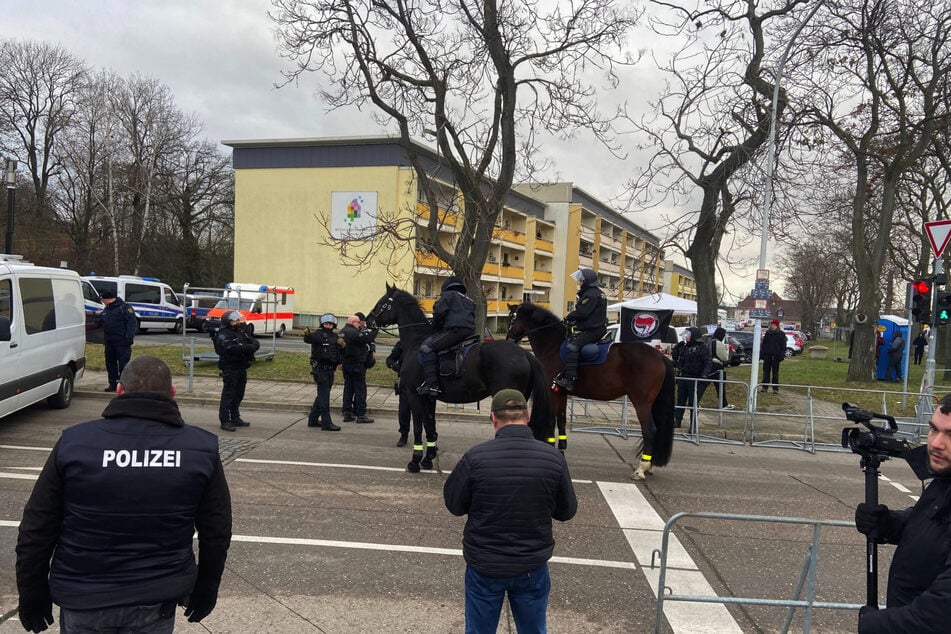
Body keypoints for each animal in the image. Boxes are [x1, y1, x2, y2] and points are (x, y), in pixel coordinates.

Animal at [368, 284, 556, 472]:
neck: (416, 341)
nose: (369, 321)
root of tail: (525, 354)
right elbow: (430, 426)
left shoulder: (414, 395)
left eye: (381, 303)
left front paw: (415, 461)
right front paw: (428, 459)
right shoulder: (428, 398)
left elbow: (418, 427)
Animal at [506, 302, 676, 478]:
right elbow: (561, 421)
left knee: (649, 430)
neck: (552, 346)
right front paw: (561, 451)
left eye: (511, 318)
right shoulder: (561, 393)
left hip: (641, 402)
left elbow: (551, 421)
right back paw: (650, 465)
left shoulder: (552, 393)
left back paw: (641, 468)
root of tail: (660, 356)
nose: (509, 338)